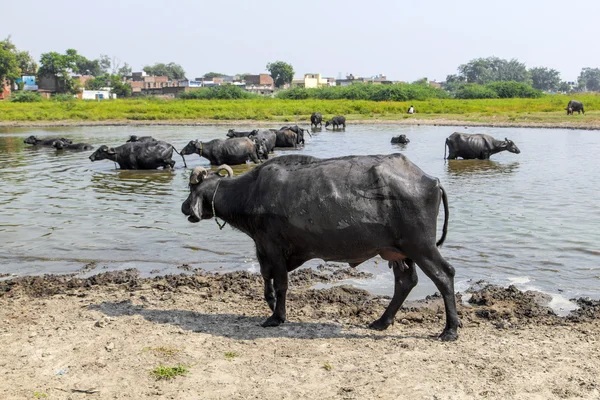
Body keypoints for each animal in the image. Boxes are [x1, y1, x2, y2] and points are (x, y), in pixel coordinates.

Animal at [180, 153, 458, 340]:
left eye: (192, 186)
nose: (184, 207)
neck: (250, 192)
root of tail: (430, 180)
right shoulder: (262, 247)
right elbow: (266, 277)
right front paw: (270, 304)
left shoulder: (274, 247)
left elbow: (280, 283)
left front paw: (276, 316)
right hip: (397, 251)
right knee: (405, 281)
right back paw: (382, 321)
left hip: (421, 246)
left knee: (444, 275)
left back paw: (450, 330)